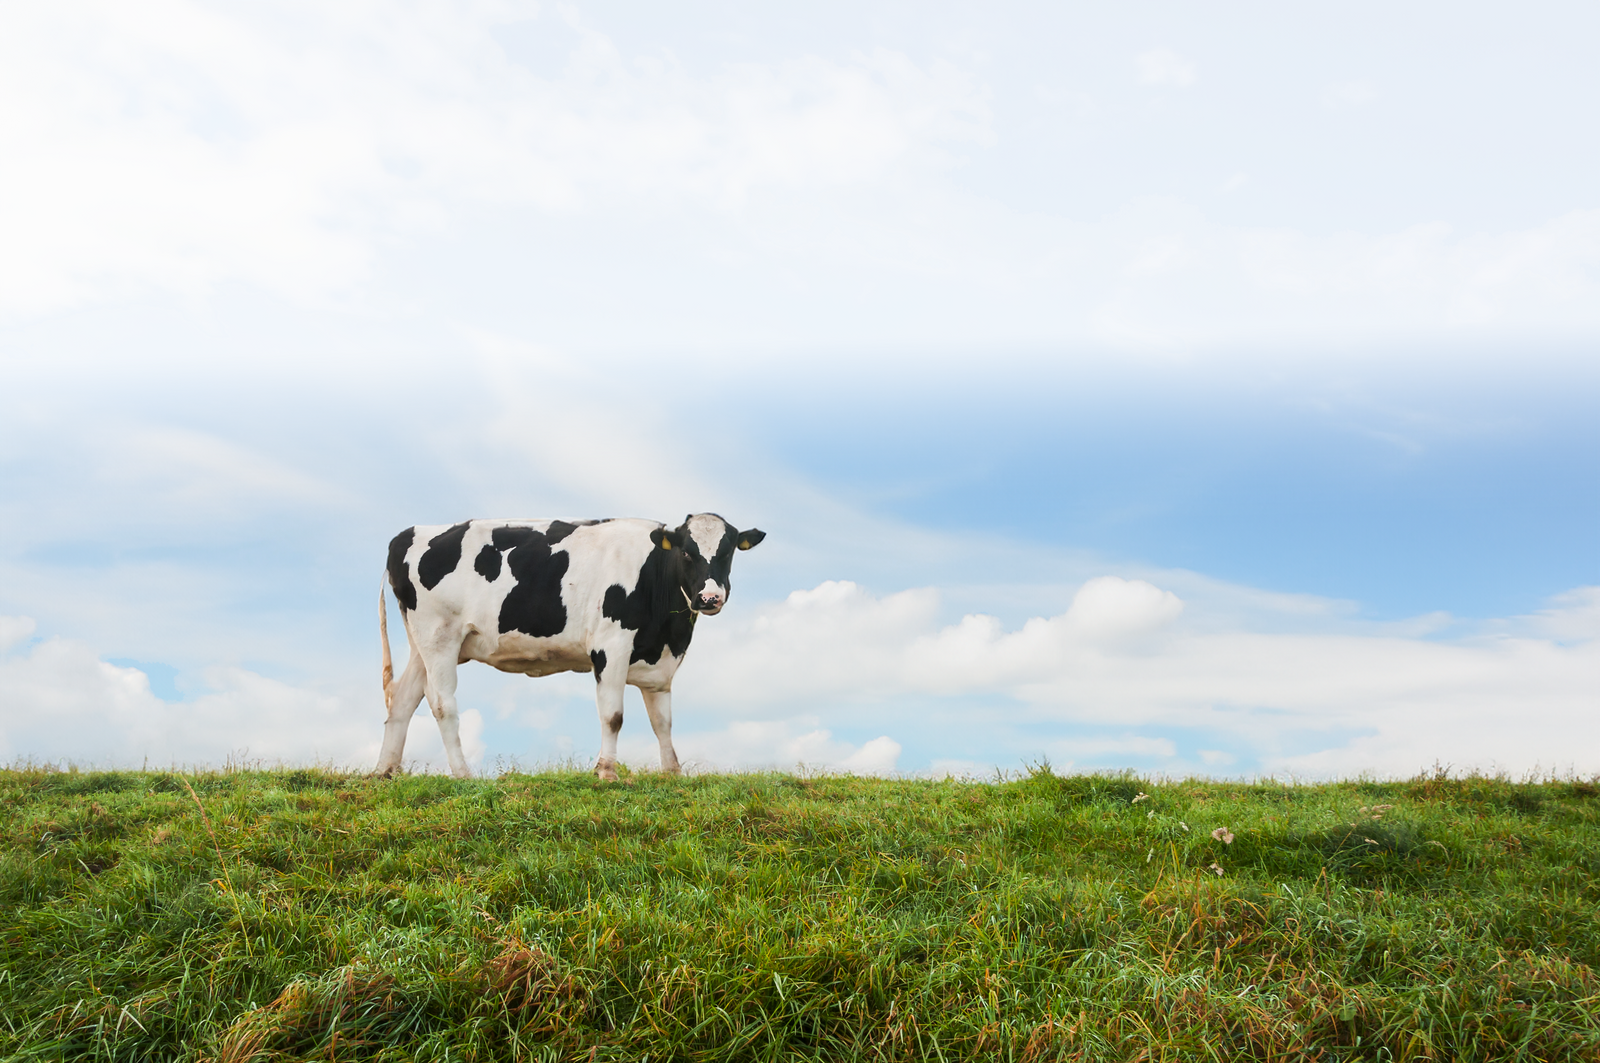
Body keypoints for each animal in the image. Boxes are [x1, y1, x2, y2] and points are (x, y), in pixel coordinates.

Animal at [377, 513, 765, 780]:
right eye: (687, 552)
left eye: (728, 552)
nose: (709, 597)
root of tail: (407, 534)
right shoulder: (610, 645)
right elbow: (613, 715)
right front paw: (606, 771)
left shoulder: (658, 664)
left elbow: (663, 722)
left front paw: (672, 772)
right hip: (439, 636)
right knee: (442, 703)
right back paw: (462, 774)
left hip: (422, 644)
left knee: (403, 699)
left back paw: (384, 771)